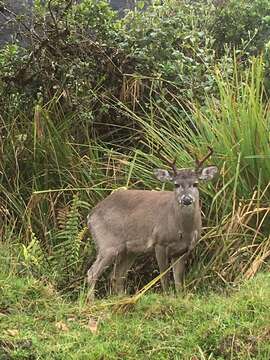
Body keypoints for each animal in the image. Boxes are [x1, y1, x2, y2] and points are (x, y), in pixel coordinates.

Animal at [87, 146, 218, 298]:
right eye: (176, 184)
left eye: (195, 184)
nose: (186, 199)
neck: (182, 230)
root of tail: (91, 215)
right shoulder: (159, 242)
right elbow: (164, 276)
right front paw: (167, 296)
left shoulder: (184, 249)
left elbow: (178, 280)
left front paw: (180, 297)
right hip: (108, 244)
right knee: (92, 273)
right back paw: (91, 301)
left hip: (129, 251)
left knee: (117, 275)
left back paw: (121, 298)